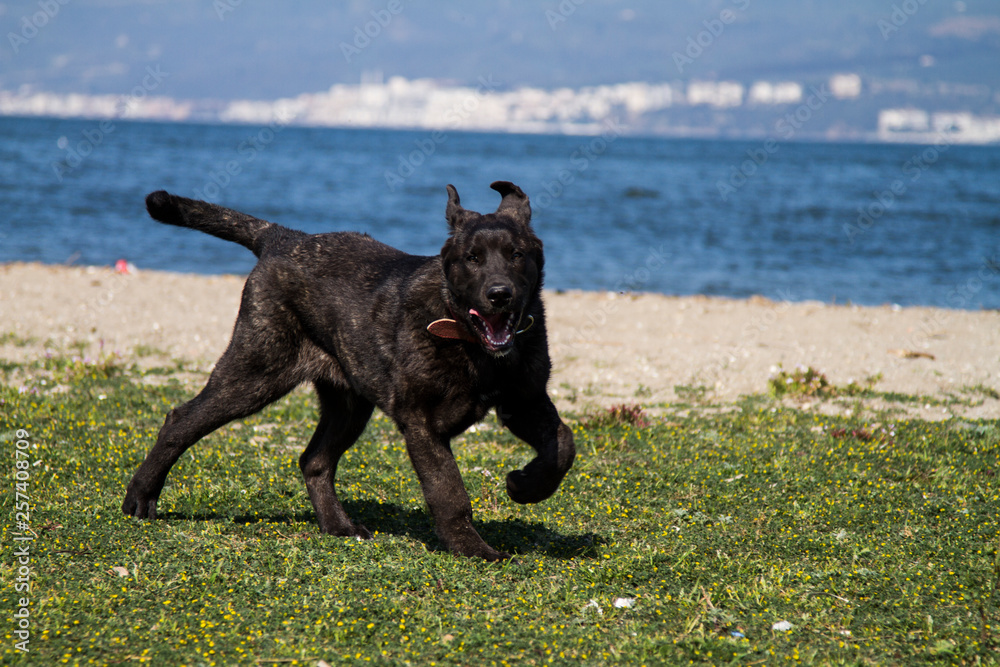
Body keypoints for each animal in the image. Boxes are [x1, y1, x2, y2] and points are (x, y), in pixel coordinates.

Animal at [123, 180, 580, 560]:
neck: (468, 341)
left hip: (348, 403)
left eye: (517, 255)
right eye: (472, 258)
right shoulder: (422, 423)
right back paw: (140, 498)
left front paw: (526, 484)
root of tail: (282, 238)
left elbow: (563, 443)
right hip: (255, 372)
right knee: (181, 420)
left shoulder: (525, 401)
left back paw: (337, 525)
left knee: (314, 460)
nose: (500, 294)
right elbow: (449, 492)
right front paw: (472, 548)